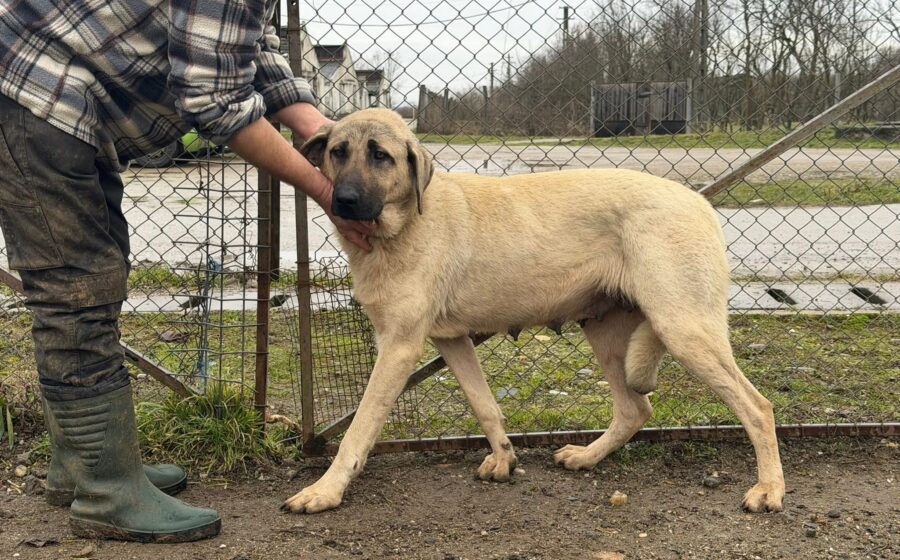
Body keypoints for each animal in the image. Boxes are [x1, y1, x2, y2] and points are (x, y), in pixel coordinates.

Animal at [282, 108, 785, 515]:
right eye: (338, 152)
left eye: (380, 156)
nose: (343, 200)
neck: (404, 223)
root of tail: (698, 201)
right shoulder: (451, 340)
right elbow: (485, 405)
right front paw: (505, 458)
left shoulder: (399, 348)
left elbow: (359, 429)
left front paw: (325, 490)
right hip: (605, 334)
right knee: (634, 409)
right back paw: (587, 457)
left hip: (684, 329)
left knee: (757, 406)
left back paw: (769, 489)